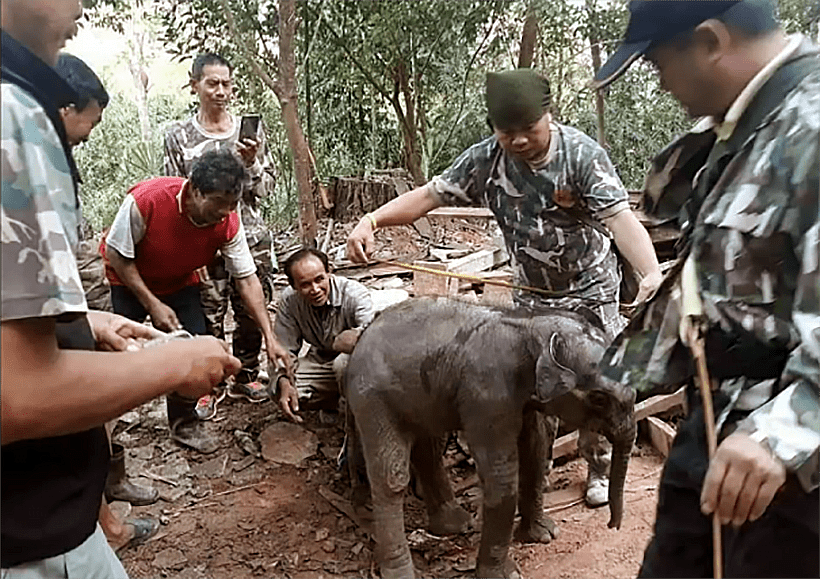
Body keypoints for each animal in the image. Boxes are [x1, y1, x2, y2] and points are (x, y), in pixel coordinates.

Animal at [346, 300, 636, 579]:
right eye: (598, 398)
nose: (613, 525)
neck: (532, 325)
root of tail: (361, 336)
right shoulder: (486, 397)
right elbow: (501, 477)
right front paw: (504, 574)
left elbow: (535, 450)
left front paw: (544, 535)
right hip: (373, 399)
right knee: (391, 478)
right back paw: (401, 571)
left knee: (429, 450)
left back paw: (456, 525)